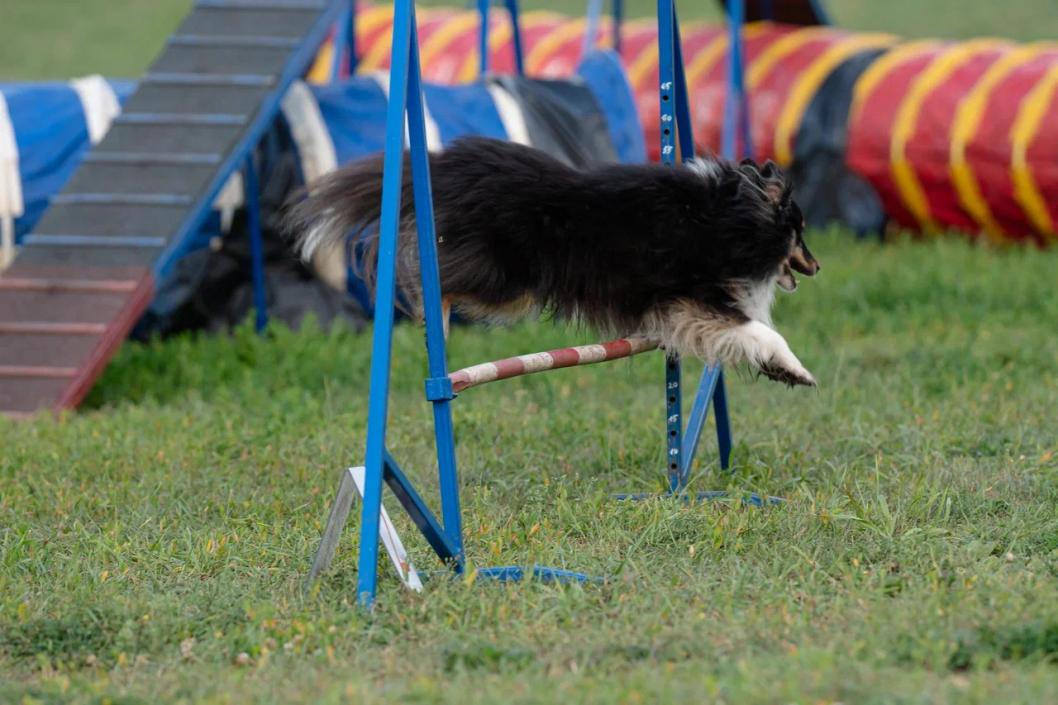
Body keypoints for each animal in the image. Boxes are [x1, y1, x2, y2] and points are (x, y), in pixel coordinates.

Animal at [287, 135, 816, 385]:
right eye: (801, 230)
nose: (817, 266)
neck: (726, 214)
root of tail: (445, 161)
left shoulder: (688, 309)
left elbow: (744, 337)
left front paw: (782, 373)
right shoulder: (694, 296)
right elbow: (762, 332)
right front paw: (800, 371)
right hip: (505, 280)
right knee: (429, 274)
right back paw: (432, 318)